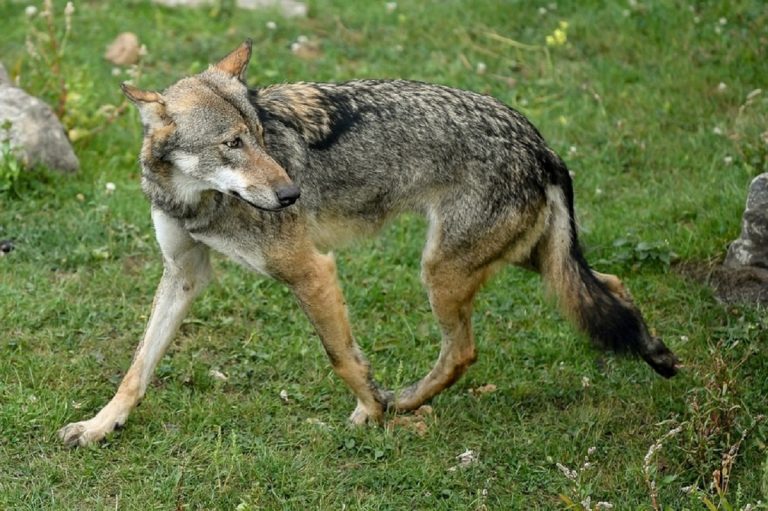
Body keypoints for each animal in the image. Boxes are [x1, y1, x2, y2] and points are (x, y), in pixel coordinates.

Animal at [59, 40, 679, 447]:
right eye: (232, 144)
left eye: (260, 136)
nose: (291, 193)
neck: (197, 202)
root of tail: (542, 144)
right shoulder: (185, 274)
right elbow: (137, 367)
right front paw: (100, 426)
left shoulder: (312, 269)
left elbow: (342, 357)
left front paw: (371, 413)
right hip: (521, 260)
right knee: (609, 283)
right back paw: (657, 353)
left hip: (442, 272)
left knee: (465, 350)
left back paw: (401, 401)